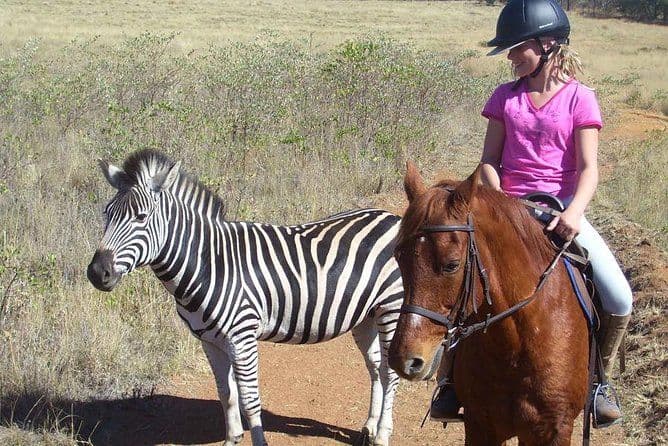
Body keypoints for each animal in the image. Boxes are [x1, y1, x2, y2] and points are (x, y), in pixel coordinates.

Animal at [388, 162, 589, 445]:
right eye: (399, 256)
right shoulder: (481, 425)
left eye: (452, 265)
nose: (404, 360)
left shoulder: (553, 431)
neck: (517, 343)